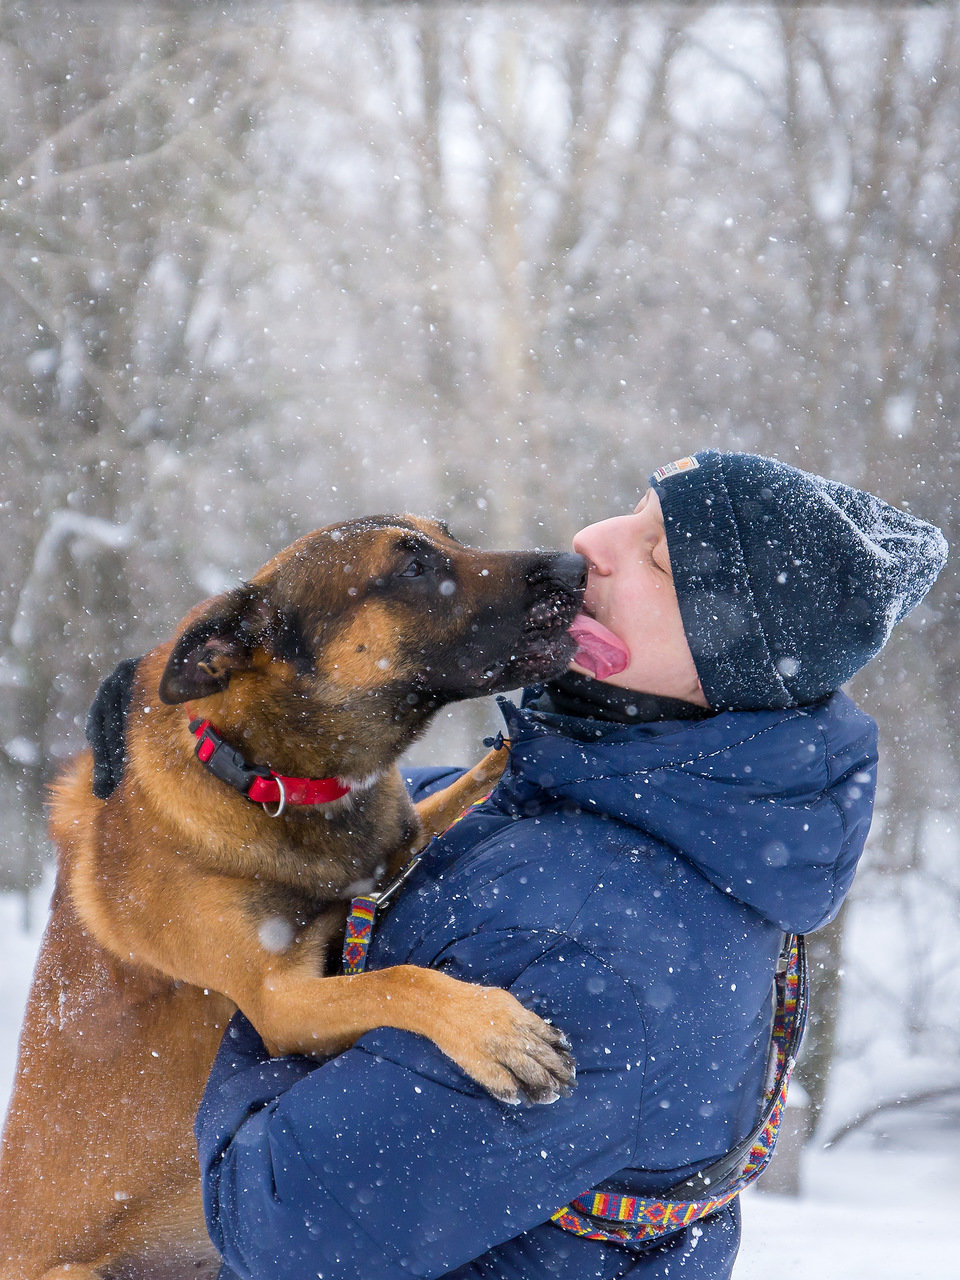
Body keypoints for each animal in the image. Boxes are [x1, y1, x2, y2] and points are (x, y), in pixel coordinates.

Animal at [0, 514, 586, 1274]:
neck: (261, 774)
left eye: (448, 536)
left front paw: (509, 755)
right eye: (413, 568)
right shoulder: (280, 1004)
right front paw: (493, 1030)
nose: (576, 567)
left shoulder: (396, 846)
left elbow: (454, 799)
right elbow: (398, 981)